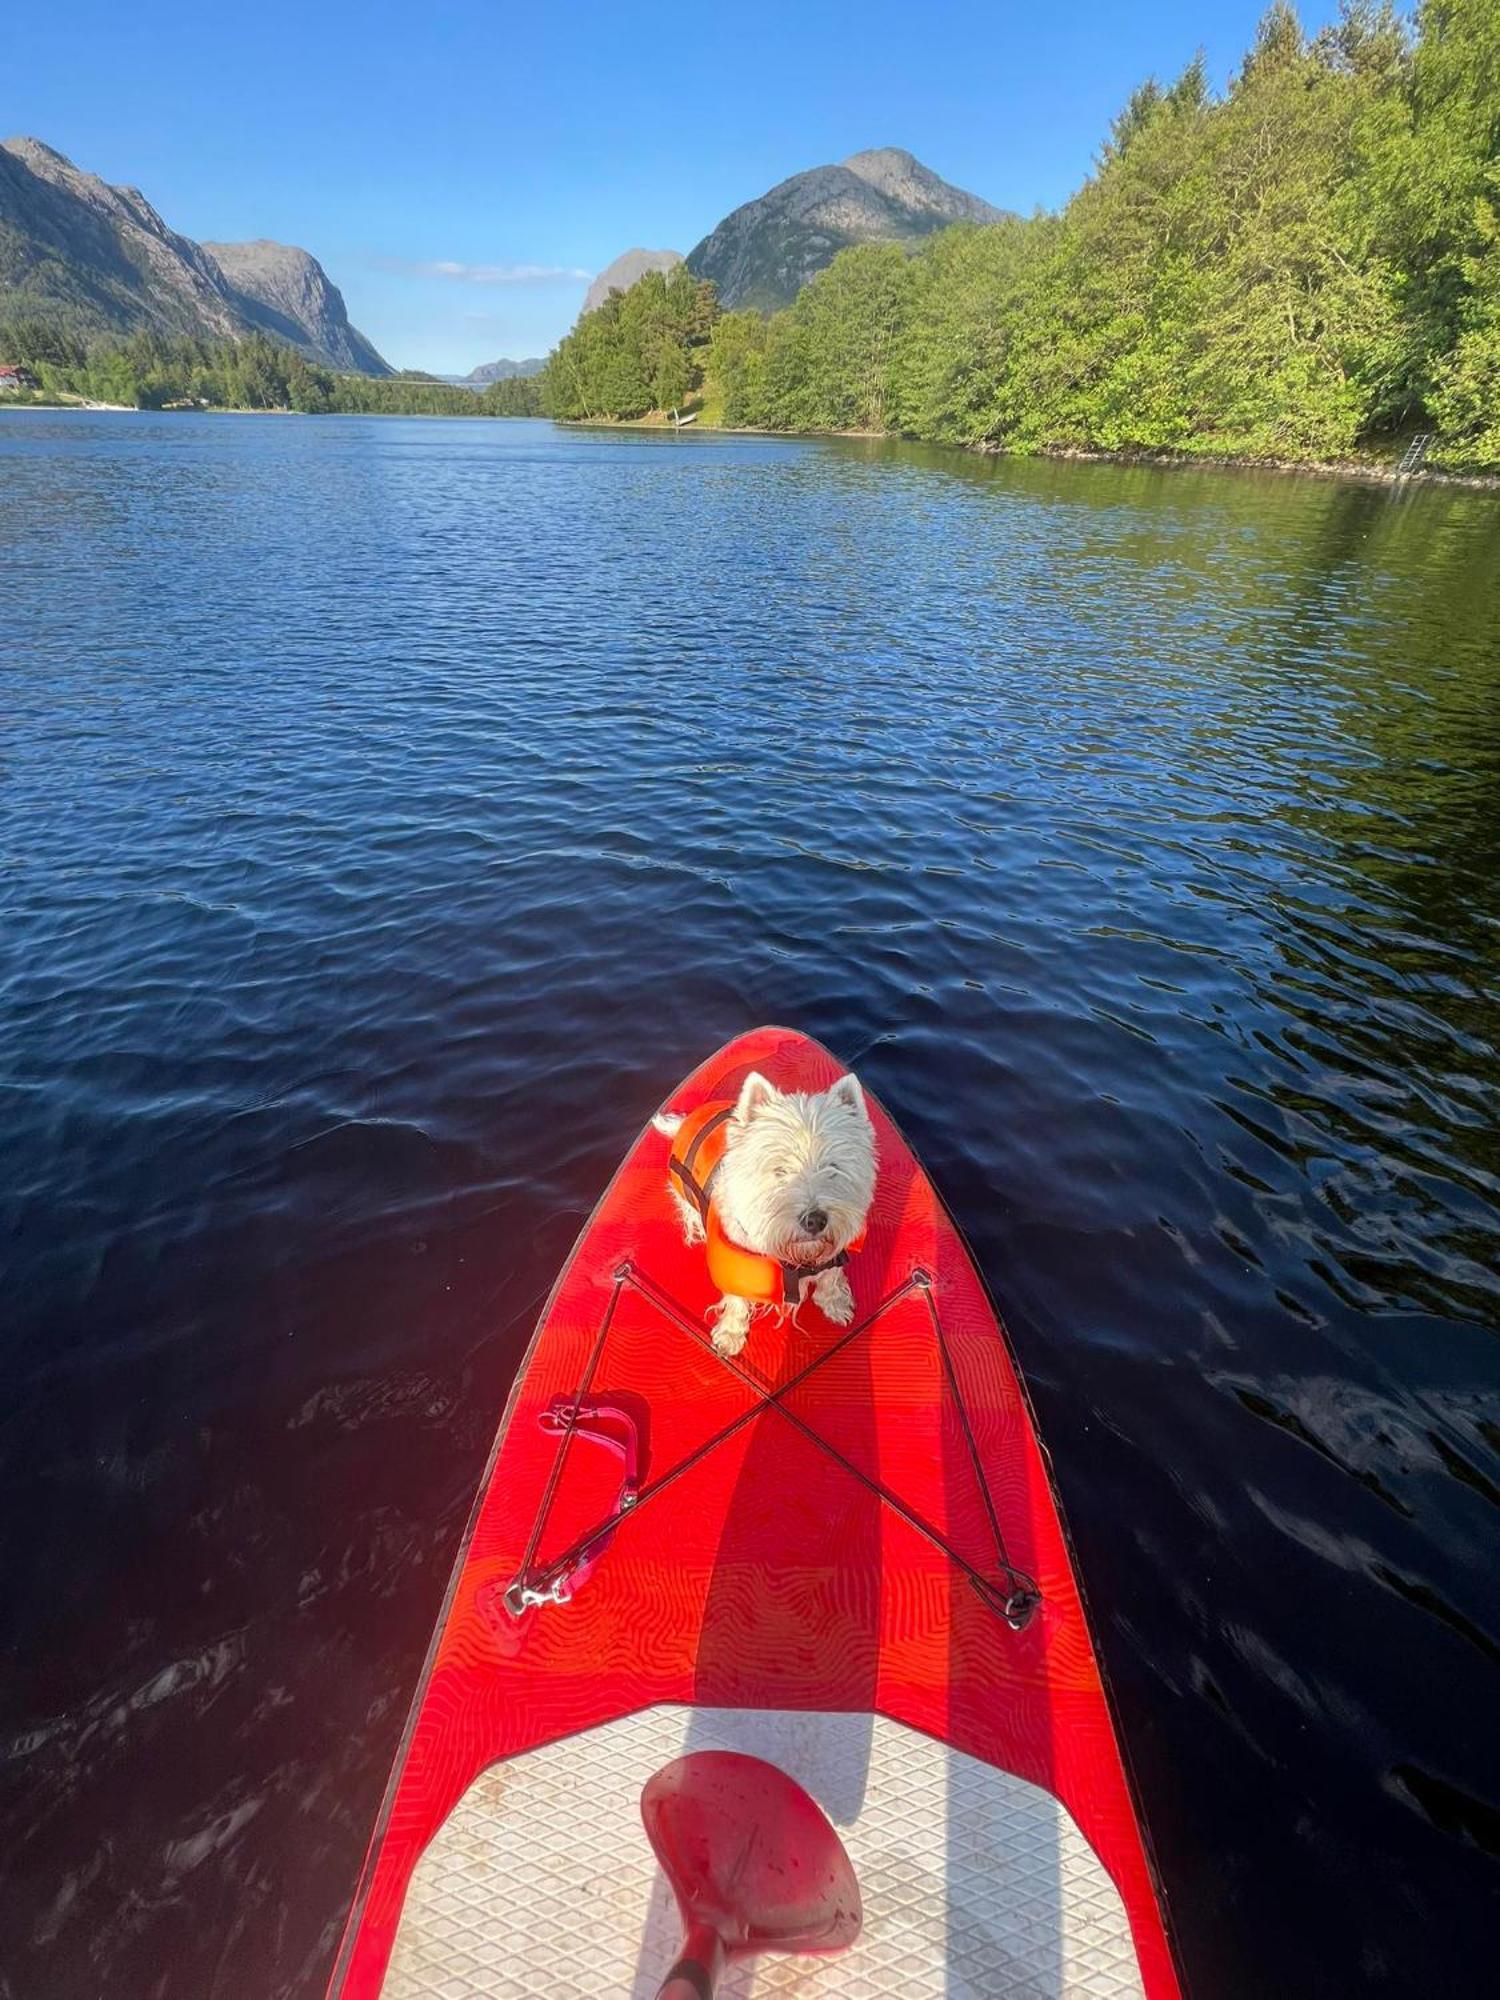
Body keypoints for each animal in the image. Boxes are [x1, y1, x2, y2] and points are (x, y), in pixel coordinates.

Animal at [656, 1080, 880, 1360]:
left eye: (833, 1168)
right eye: (779, 1170)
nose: (814, 1220)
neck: (794, 1262)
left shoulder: (835, 1248)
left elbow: (830, 1275)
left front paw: (836, 1303)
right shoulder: (734, 1267)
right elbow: (737, 1300)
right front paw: (730, 1335)